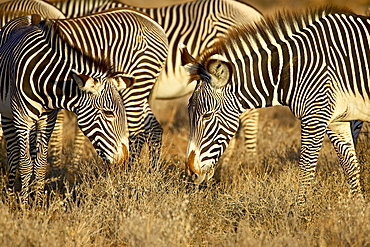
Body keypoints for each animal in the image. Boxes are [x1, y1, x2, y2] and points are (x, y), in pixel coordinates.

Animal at [0, 7, 168, 205]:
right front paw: (25, 205)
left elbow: (39, 161)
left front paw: (36, 202)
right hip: (8, 114)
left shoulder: (47, 118)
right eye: (108, 113)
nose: (123, 160)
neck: (46, 81)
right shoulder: (22, 118)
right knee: (13, 152)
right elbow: (26, 161)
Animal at [183, 6, 370, 206]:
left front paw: (299, 211)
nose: (191, 174)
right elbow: (350, 164)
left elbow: (306, 167)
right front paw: (357, 207)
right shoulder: (336, 120)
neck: (293, 69)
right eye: (189, 114)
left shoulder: (315, 116)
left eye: (207, 116)